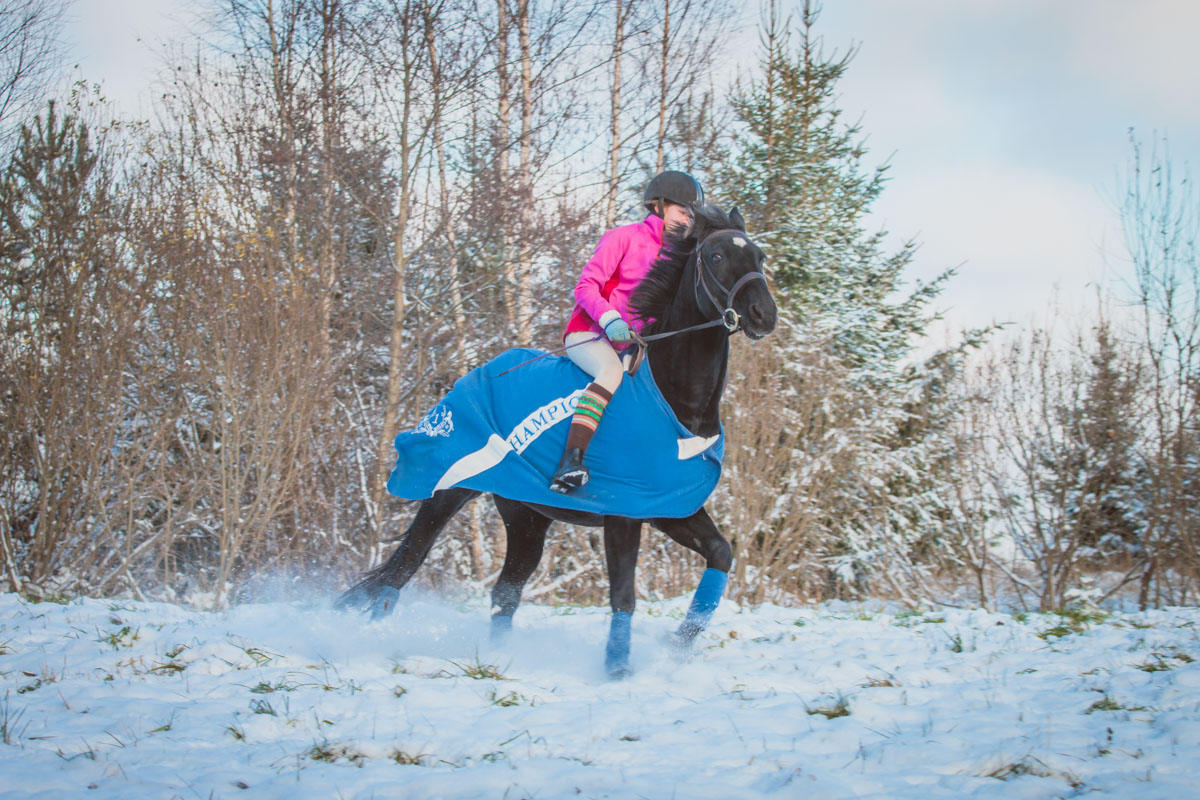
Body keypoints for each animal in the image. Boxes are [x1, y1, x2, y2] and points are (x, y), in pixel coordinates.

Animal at [340, 203, 777, 681]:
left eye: (759, 255)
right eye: (715, 256)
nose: (764, 314)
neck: (674, 401)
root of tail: (474, 375)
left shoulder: (668, 507)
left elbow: (720, 554)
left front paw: (680, 642)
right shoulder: (624, 511)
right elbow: (623, 594)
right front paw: (618, 669)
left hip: (527, 518)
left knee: (504, 594)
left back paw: (496, 660)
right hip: (449, 490)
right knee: (404, 566)